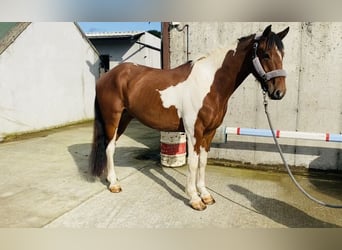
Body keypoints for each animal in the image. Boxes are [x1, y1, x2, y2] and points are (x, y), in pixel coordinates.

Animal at [89, 24, 288, 211]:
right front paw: (194, 198)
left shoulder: (209, 132)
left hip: (124, 119)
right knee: (109, 148)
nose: (279, 92)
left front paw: (205, 195)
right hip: (112, 119)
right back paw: (114, 184)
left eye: (282, 54)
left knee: (110, 146)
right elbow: (193, 162)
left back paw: (112, 178)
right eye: (266, 54)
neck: (210, 83)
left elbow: (203, 162)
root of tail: (106, 76)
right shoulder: (194, 131)